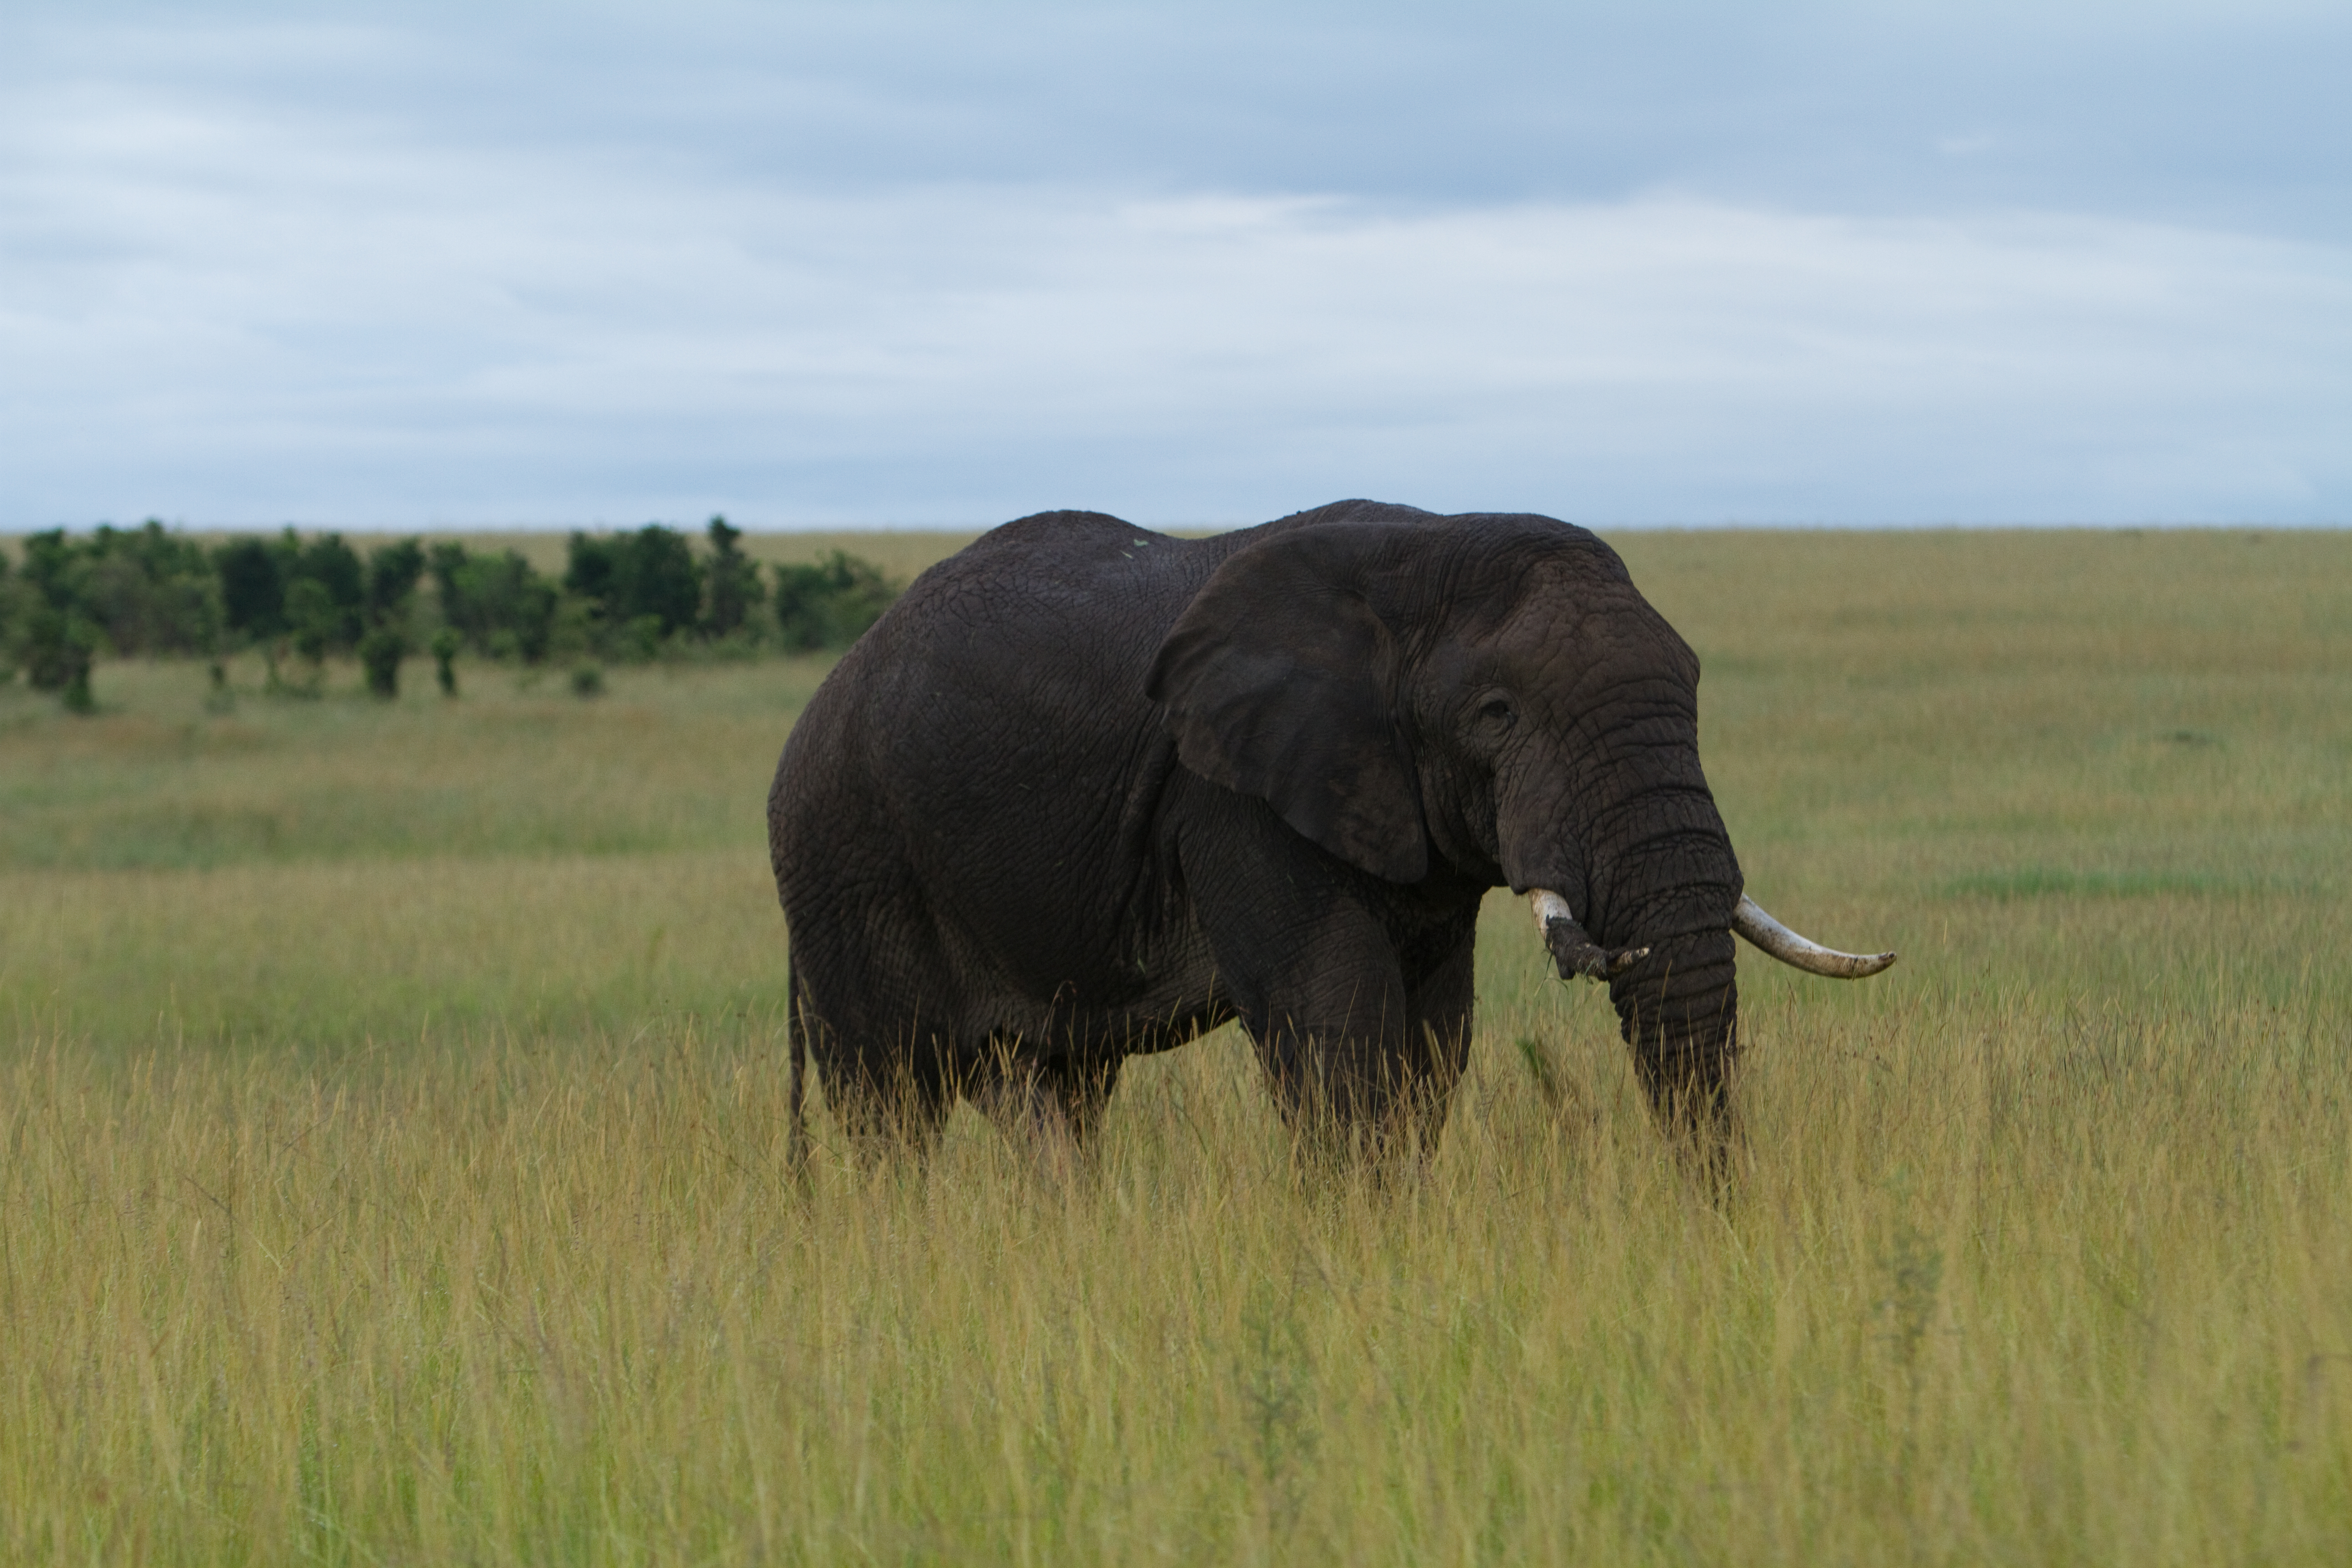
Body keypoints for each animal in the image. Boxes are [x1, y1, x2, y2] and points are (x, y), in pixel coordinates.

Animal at [767, 500, 1892, 1166]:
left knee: (1056, 1095)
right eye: (1497, 714)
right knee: (889, 1106)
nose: (1713, 1223)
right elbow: (1334, 1023)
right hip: (845, 853)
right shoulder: (1234, 795)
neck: (1423, 554)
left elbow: (1431, 1043)